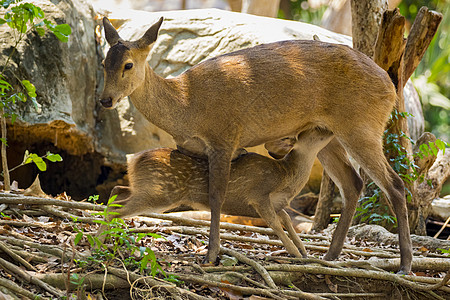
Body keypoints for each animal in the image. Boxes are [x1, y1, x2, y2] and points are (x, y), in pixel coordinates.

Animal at [99, 17, 412, 274]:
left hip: (362, 127)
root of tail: (391, 86)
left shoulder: (224, 137)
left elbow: (216, 196)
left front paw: (211, 255)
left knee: (395, 184)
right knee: (353, 183)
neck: (186, 106)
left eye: (128, 65)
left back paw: (405, 265)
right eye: (104, 64)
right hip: (328, 135)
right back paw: (330, 256)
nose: (105, 100)